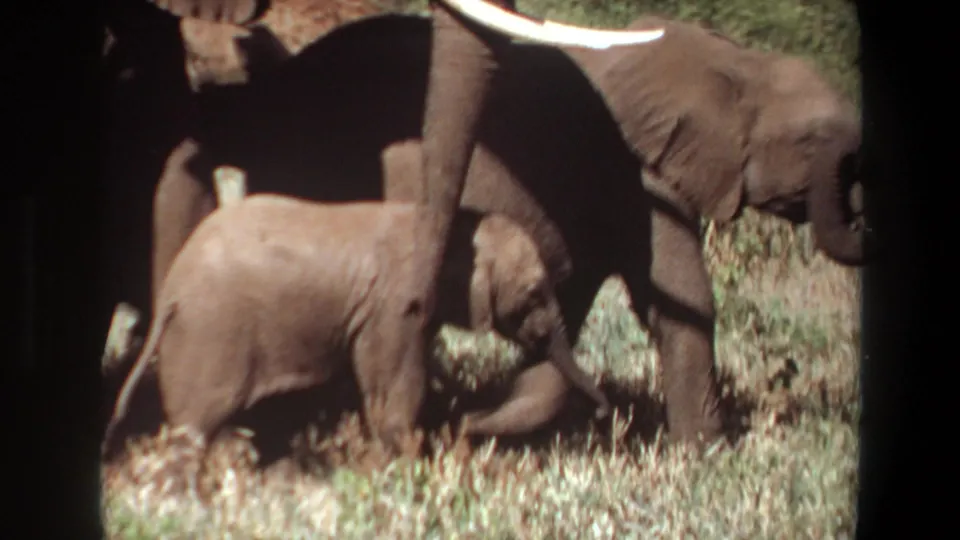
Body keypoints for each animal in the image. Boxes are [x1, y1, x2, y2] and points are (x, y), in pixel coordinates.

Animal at [101, 194, 612, 464]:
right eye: (534, 293)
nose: (605, 413)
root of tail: (171, 289)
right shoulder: (393, 309)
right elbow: (395, 391)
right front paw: (406, 459)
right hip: (209, 336)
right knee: (196, 426)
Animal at [172, 12, 867, 448]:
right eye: (812, 143)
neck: (736, 63)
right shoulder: (640, 175)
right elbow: (680, 299)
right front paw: (705, 457)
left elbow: (572, 305)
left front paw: (479, 423)